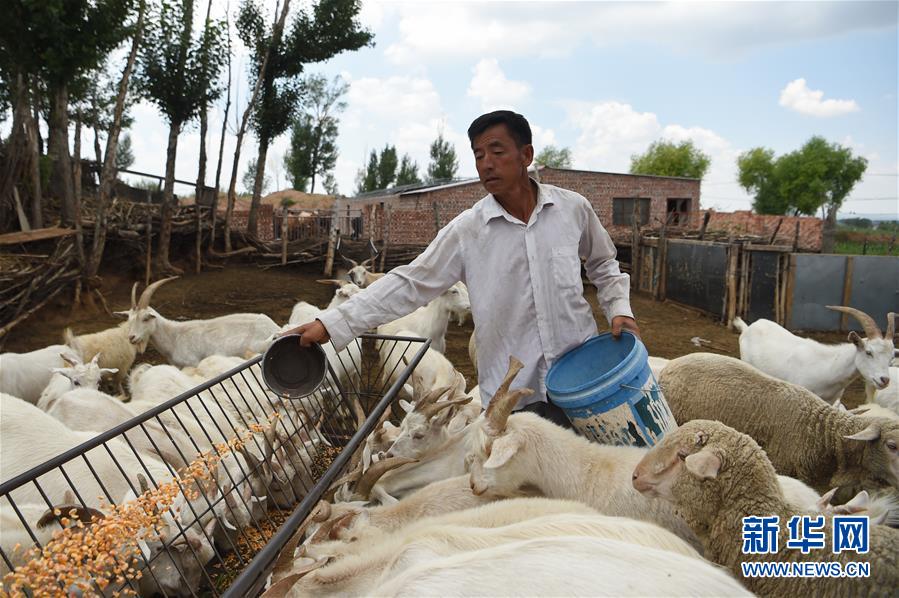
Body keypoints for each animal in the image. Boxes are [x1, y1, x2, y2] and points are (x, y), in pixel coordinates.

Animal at [117, 277, 280, 367]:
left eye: (145, 318)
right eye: (129, 319)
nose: (131, 338)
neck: (174, 337)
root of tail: (273, 326)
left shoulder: (193, 363)